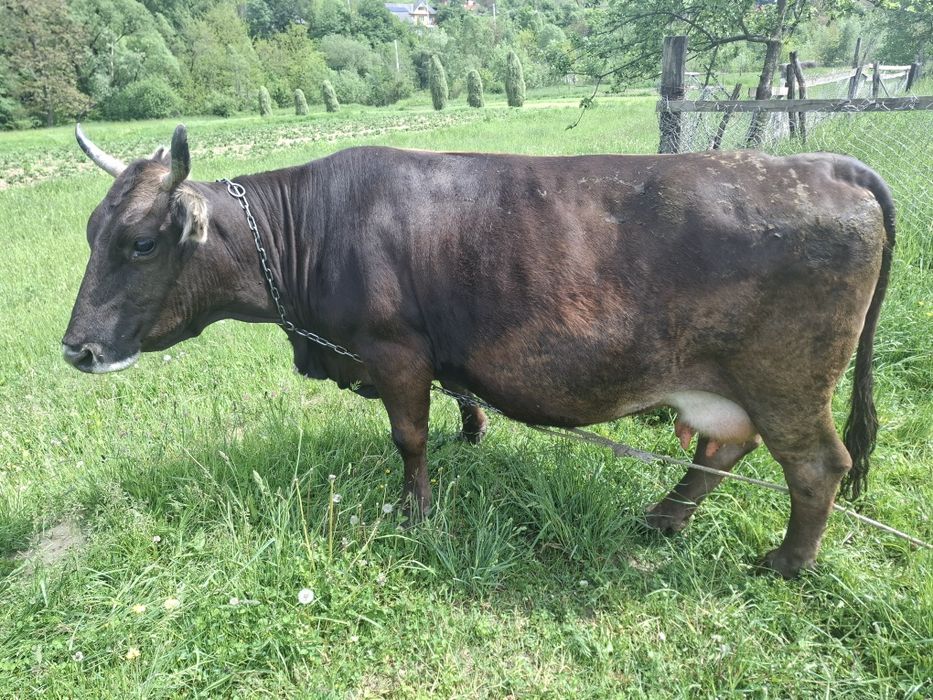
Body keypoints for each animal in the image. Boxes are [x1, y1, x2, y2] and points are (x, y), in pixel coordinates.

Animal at [64, 124, 894, 578]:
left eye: (141, 243)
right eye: (90, 231)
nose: (76, 349)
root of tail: (820, 164)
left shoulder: (394, 350)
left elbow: (408, 436)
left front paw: (415, 511)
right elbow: (459, 397)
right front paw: (472, 433)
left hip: (787, 375)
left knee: (815, 466)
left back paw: (785, 564)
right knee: (722, 450)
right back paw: (662, 518)